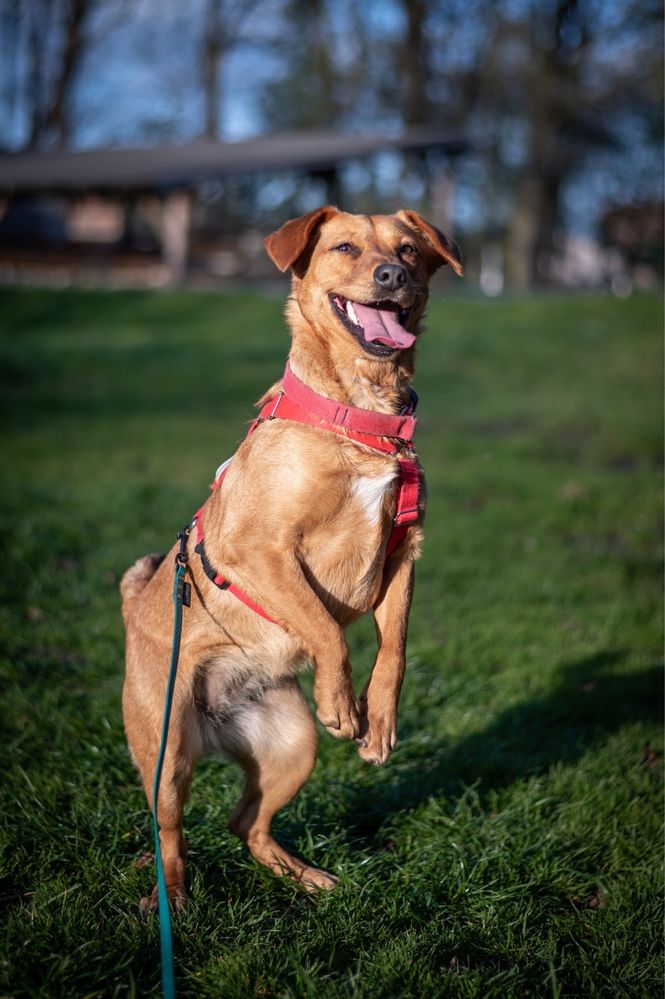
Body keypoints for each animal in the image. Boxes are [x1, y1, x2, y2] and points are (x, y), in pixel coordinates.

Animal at [120, 207, 462, 912]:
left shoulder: (403, 555)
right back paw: (176, 898)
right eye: (345, 247)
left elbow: (394, 648)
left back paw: (300, 875)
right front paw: (343, 703)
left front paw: (377, 721)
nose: (392, 277)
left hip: (291, 748)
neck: (359, 415)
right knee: (169, 831)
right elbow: (327, 629)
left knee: (244, 822)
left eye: (409, 252)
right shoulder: (261, 550)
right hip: (166, 753)